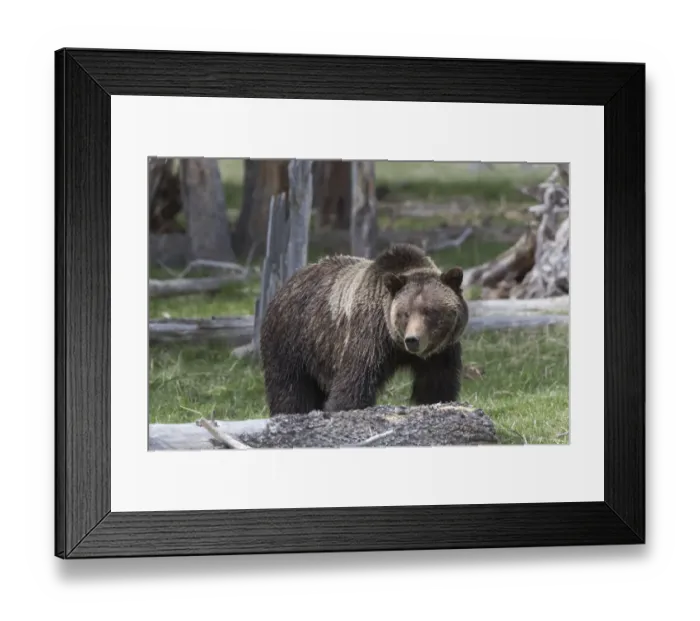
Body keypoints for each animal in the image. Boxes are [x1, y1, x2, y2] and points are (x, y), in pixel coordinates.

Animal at [259, 243, 469, 416]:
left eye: (430, 311)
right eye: (405, 313)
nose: (413, 340)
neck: (396, 345)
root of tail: (286, 284)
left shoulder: (441, 353)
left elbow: (437, 386)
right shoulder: (369, 335)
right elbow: (354, 380)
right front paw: (342, 407)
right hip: (292, 339)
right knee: (289, 386)